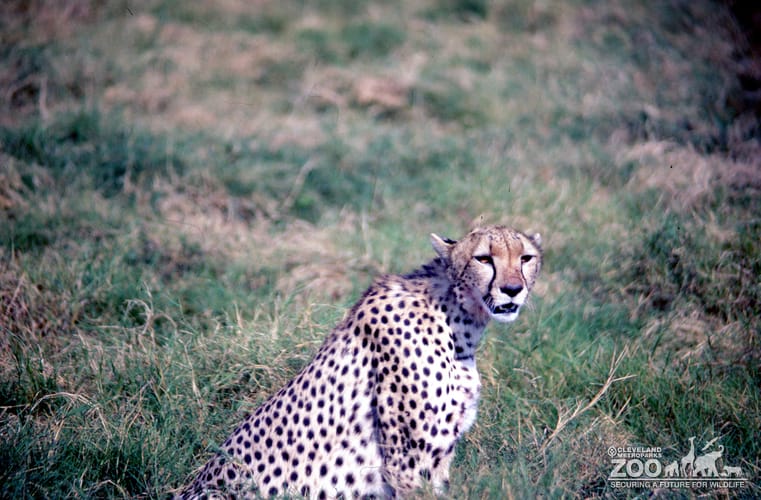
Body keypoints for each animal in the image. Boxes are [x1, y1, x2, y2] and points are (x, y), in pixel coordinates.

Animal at [177, 224, 542, 499]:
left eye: (526, 258)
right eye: (483, 258)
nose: (513, 289)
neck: (458, 320)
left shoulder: (437, 457)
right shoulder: (409, 465)